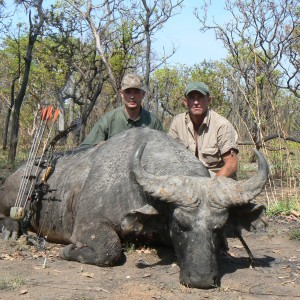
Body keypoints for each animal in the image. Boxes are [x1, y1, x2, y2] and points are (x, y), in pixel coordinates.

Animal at [0, 126, 268, 288]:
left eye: (219, 227)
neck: (133, 184)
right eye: (180, 225)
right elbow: (109, 250)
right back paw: (11, 228)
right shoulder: (88, 227)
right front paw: (67, 251)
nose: (201, 280)